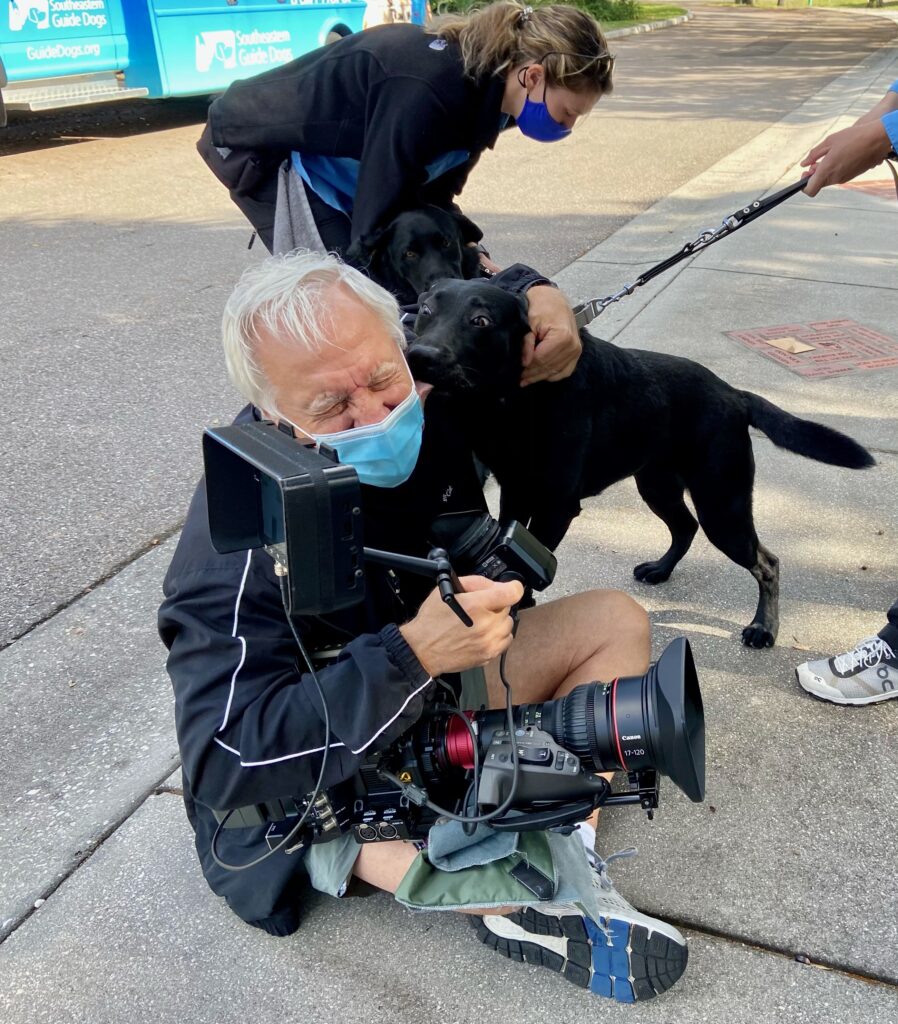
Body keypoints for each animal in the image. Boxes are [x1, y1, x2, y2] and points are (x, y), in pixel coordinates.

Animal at [407, 280, 876, 647]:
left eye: (481, 321)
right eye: (426, 311)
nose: (419, 356)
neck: (511, 400)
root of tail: (735, 395)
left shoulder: (557, 505)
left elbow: (528, 565)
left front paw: (514, 608)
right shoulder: (516, 494)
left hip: (722, 507)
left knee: (767, 563)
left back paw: (764, 627)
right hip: (657, 486)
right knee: (685, 527)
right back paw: (661, 569)